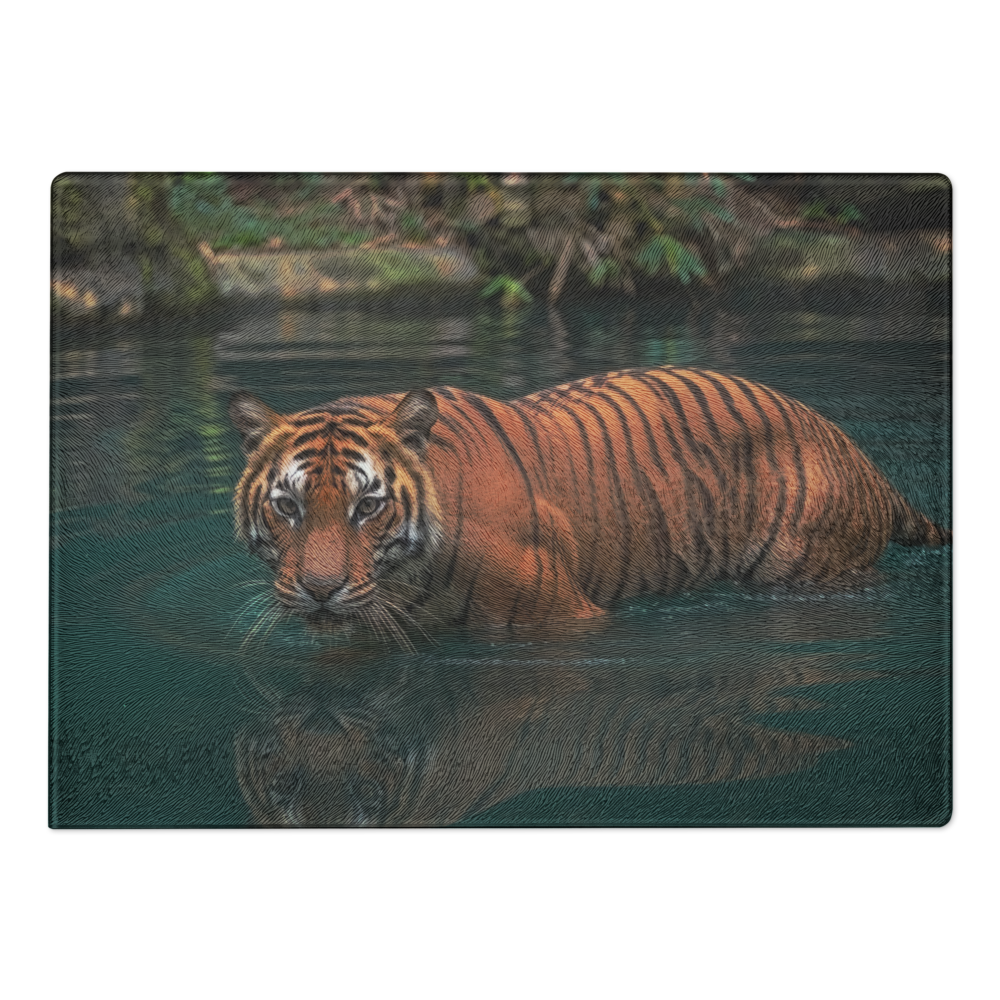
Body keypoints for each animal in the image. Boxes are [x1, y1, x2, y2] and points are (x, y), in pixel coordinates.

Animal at [228, 366, 951, 643]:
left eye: (366, 507)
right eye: (288, 507)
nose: (320, 590)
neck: (407, 577)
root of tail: (859, 456)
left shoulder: (564, 619)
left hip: (806, 570)